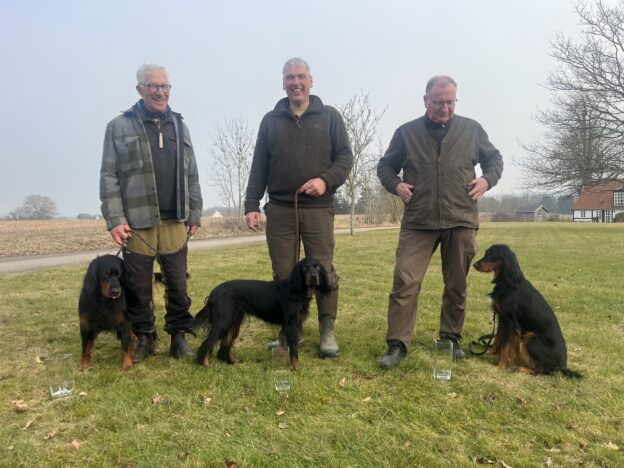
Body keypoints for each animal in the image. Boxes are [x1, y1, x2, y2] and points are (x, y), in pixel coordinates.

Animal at [193, 257, 331, 370]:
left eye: (317, 266)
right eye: (305, 267)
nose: (313, 276)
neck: (297, 289)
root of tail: (214, 291)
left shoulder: (297, 323)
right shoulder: (291, 324)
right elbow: (293, 348)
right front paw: (295, 367)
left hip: (234, 322)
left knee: (224, 346)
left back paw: (232, 362)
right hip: (222, 322)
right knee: (207, 343)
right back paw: (204, 364)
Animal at [473, 244, 581, 378]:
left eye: (491, 254)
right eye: (486, 253)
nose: (475, 264)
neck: (508, 282)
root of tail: (562, 367)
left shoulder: (510, 322)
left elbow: (506, 346)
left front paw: (501, 366)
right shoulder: (502, 318)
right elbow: (498, 337)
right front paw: (491, 352)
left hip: (531, 338)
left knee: (544, 370)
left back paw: (522, 369)